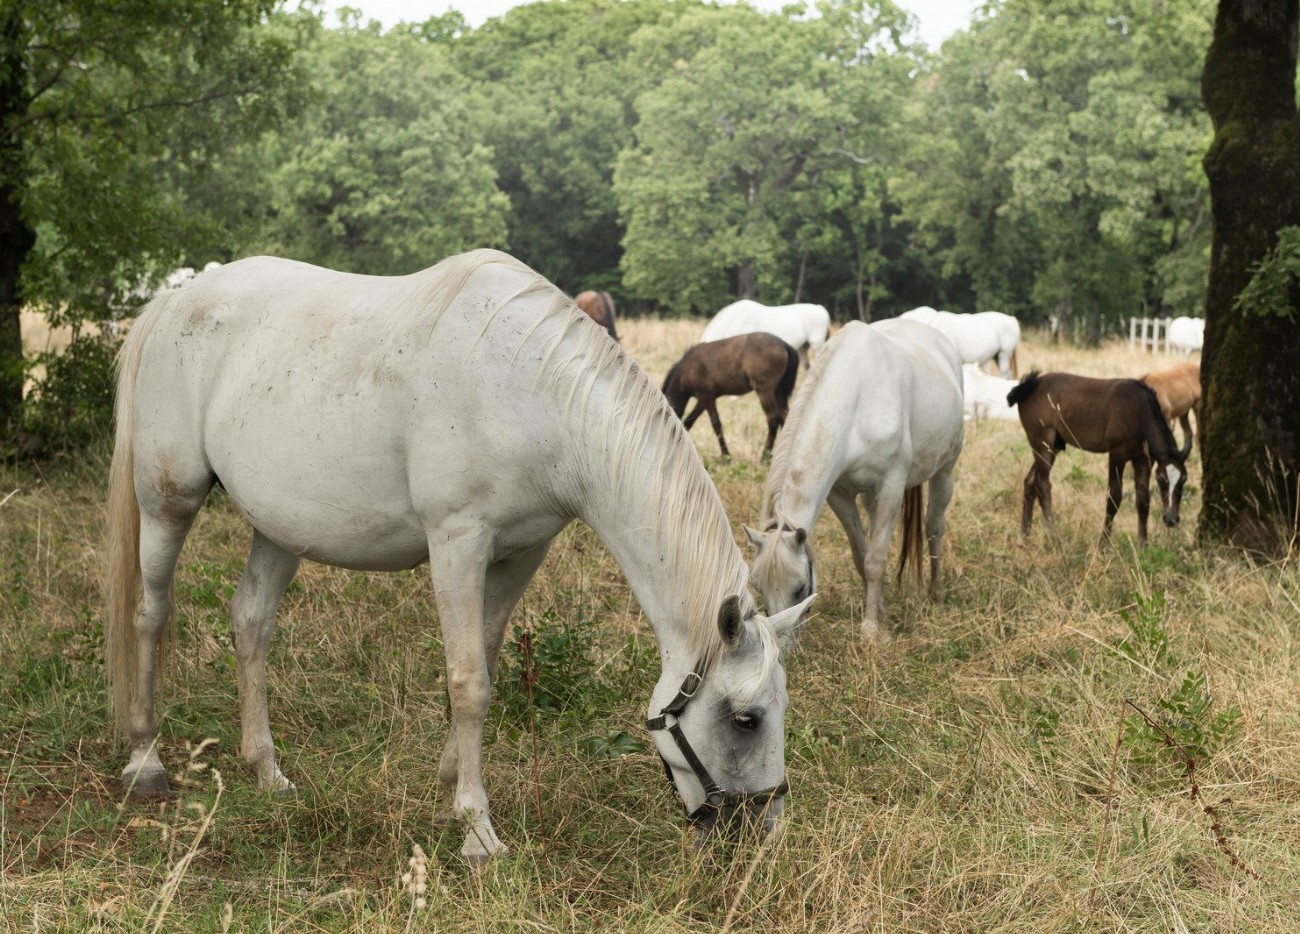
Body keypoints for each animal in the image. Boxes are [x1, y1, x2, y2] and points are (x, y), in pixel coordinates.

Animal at [662, 333, 799, 458]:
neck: (687, 369)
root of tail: (783, 344)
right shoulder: (703, 400)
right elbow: (689, 422)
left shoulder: (707, 397)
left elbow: (716, 424)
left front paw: (726, 455)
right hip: (778, 393)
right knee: (785, 415)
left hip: (765, 392)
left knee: (773, 418)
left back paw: (765, 456)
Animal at [744, 319, 965, 639]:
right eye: (758, 586)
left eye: (800, 588)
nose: (781, 642)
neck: (855, 404)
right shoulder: (840, 495)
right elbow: (862, 555)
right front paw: (880, 612)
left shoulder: (890, 488)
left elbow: (875, 560)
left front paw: (871, 629)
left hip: (944, 472)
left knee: (934, 529)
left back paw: (936, 594)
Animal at [1006, 371, 1187, 546]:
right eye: (1162, 479)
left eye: (1183, 480)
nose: (1171, 519)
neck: (1138, 411)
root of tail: (1027, 388)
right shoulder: (1117, 455)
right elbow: (1113, 498)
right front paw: (1103, 546)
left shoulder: (1143, 460)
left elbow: (1143, 501)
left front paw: (1143, 546)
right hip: (1042, 442)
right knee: (1043, 485)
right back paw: (1054, 539)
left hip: (1054, 446)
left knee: (1030, 481)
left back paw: (1023, 538)